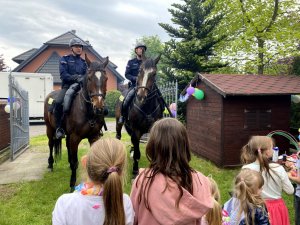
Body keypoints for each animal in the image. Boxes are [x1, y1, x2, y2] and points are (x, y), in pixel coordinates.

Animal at [44, 54, 109, 190]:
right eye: (89, 78)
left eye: (106, 78)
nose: (99, 108)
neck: (87, 111)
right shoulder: (75, 137)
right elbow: (75, 162)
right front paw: (72, 184)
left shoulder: (94, 137)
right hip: (50, 129)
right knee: (51, 144)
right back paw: (51, 165)